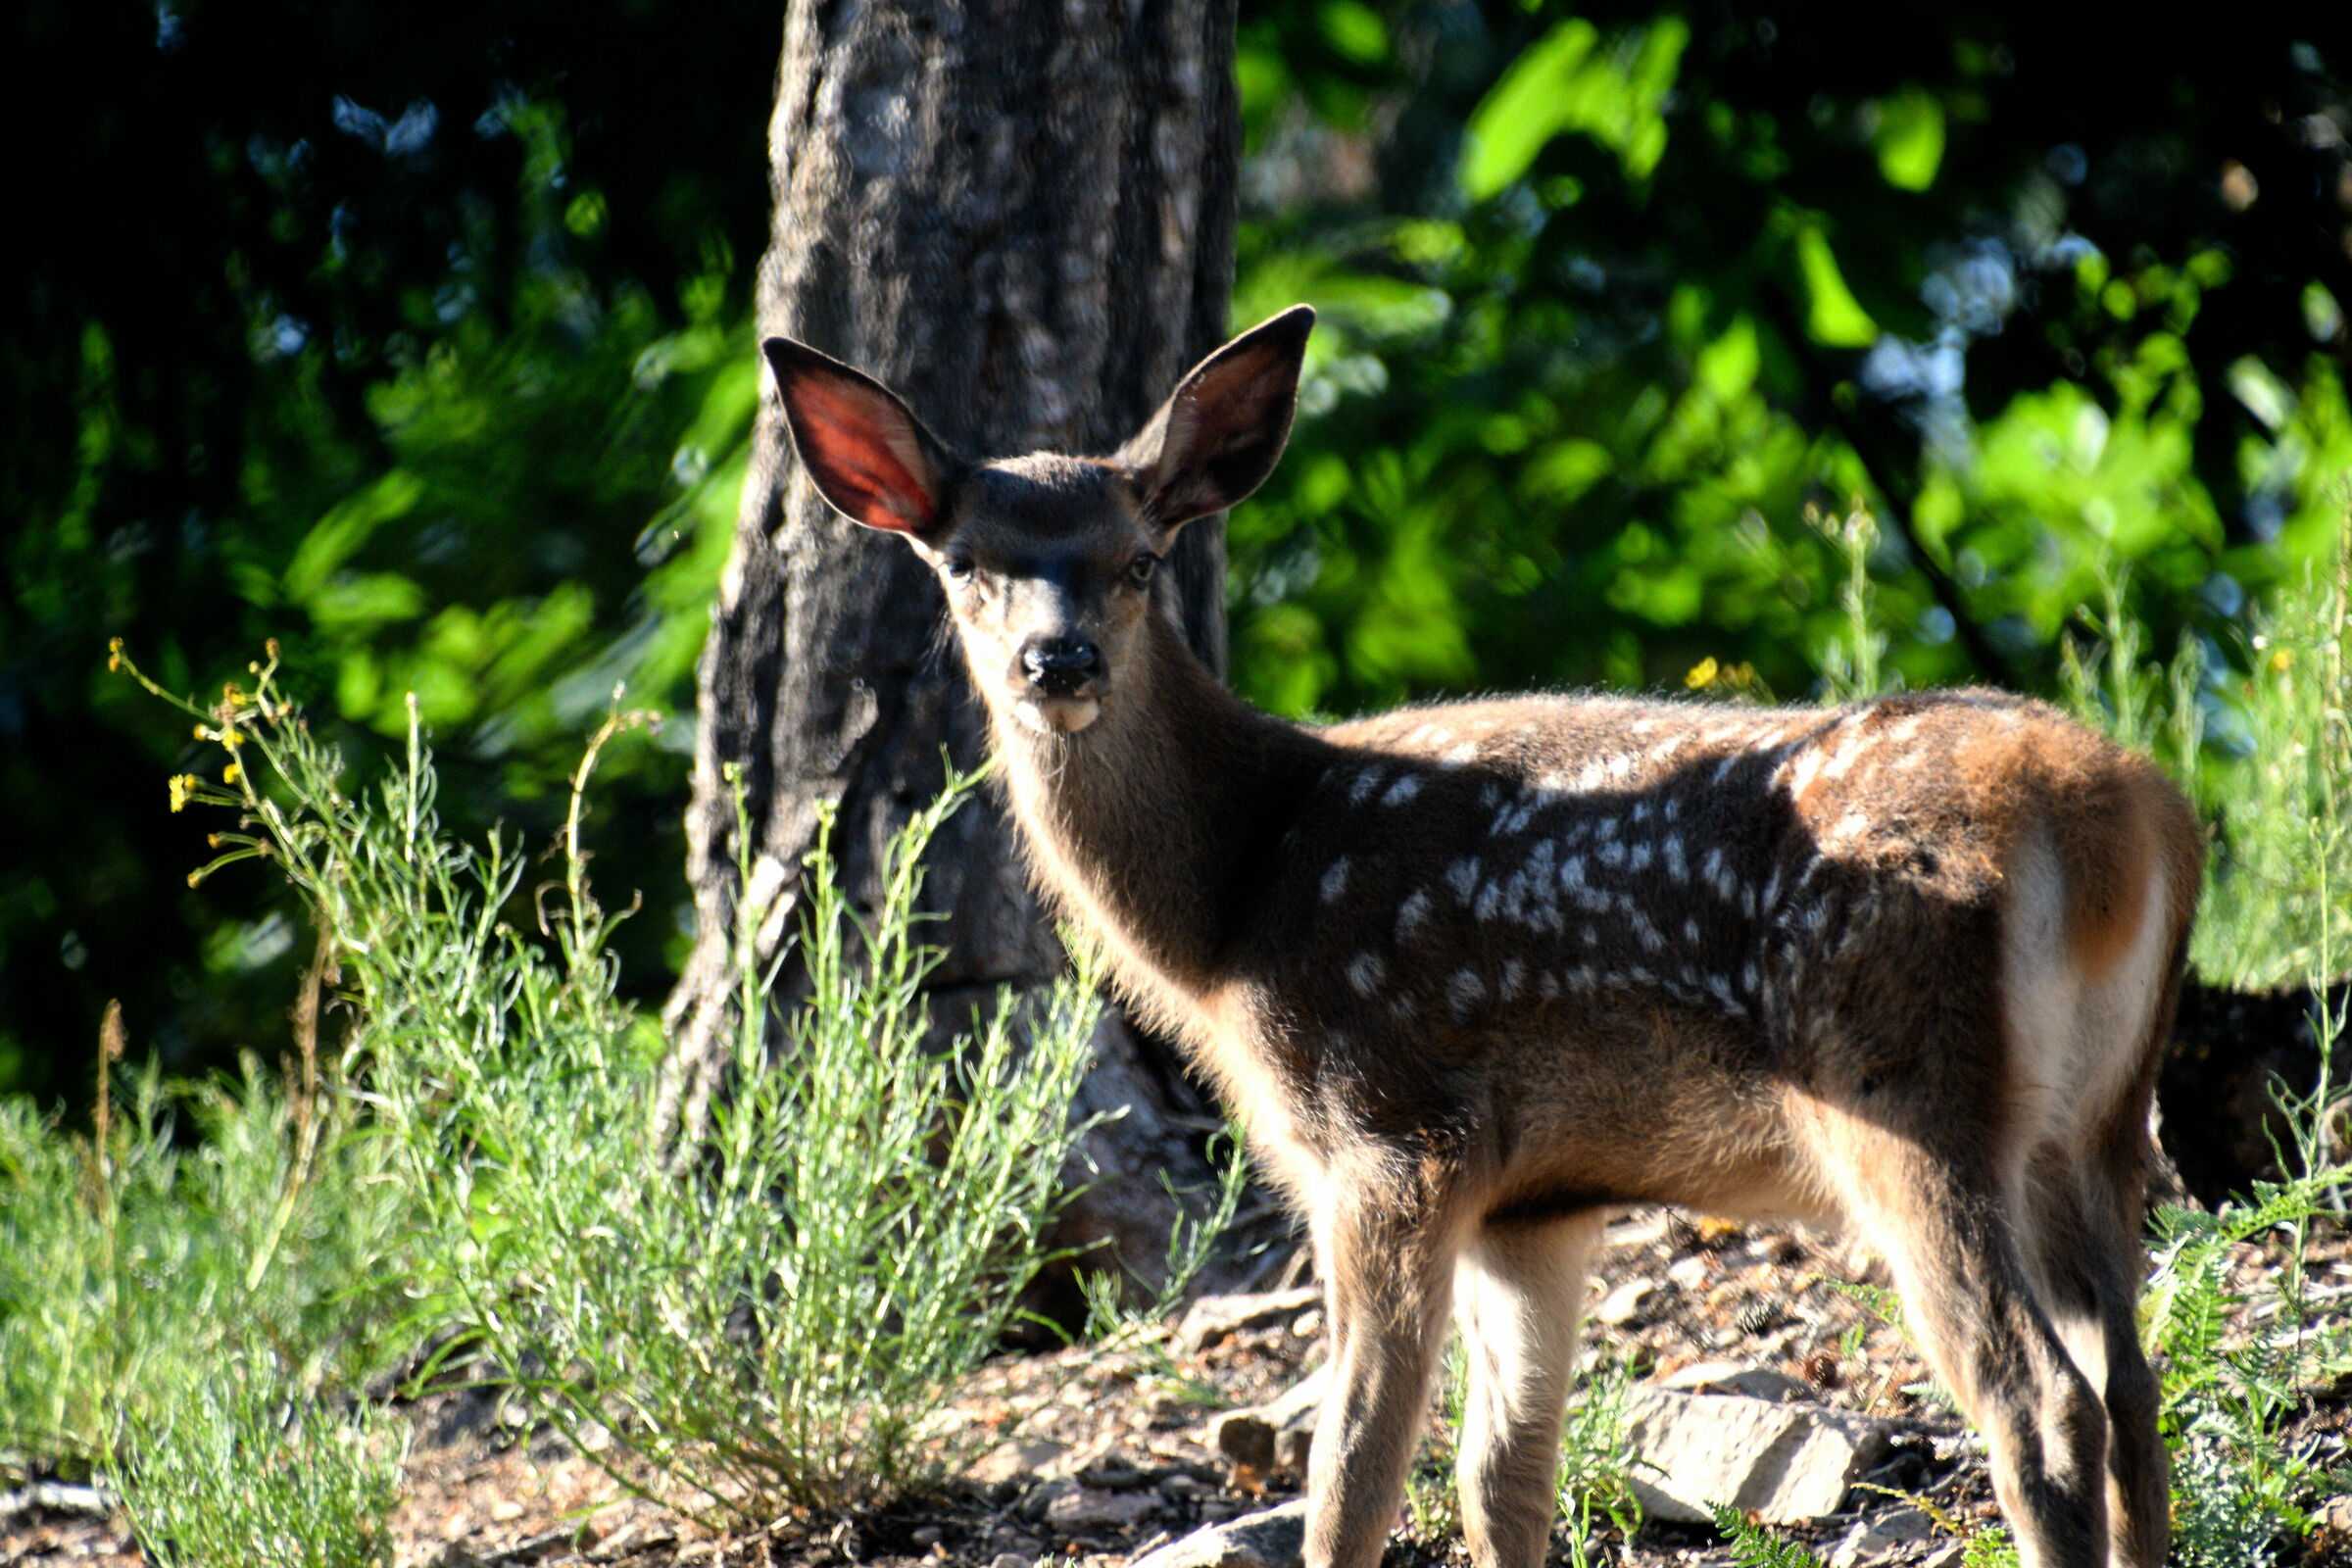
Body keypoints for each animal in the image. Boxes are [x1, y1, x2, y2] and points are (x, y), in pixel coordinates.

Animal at [758, 307, 2202, 1568]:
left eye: (1138, 561)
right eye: (966, 563)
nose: (1059, 662)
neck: (1237, 896)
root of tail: (2119, 818)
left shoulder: (1398, 1133)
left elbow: (1356, 1473)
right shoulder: (1539, 1203)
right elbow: (1505, 1477)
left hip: (1904, 1087)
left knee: (2042, 1400)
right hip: (2093, 1121)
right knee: (2134, 1387)